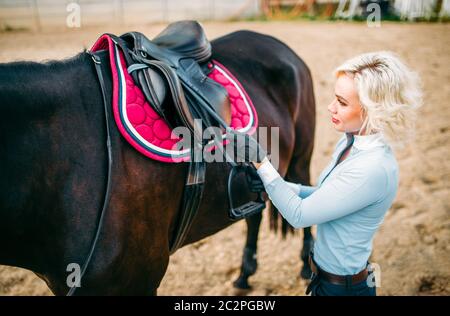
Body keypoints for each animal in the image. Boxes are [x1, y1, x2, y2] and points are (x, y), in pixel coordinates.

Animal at [0, 29, 314, 294]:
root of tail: (276, 43)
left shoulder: (140, 277)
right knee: (255, 214)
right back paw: (245, 275)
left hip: (301, 159)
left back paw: (307, 268)